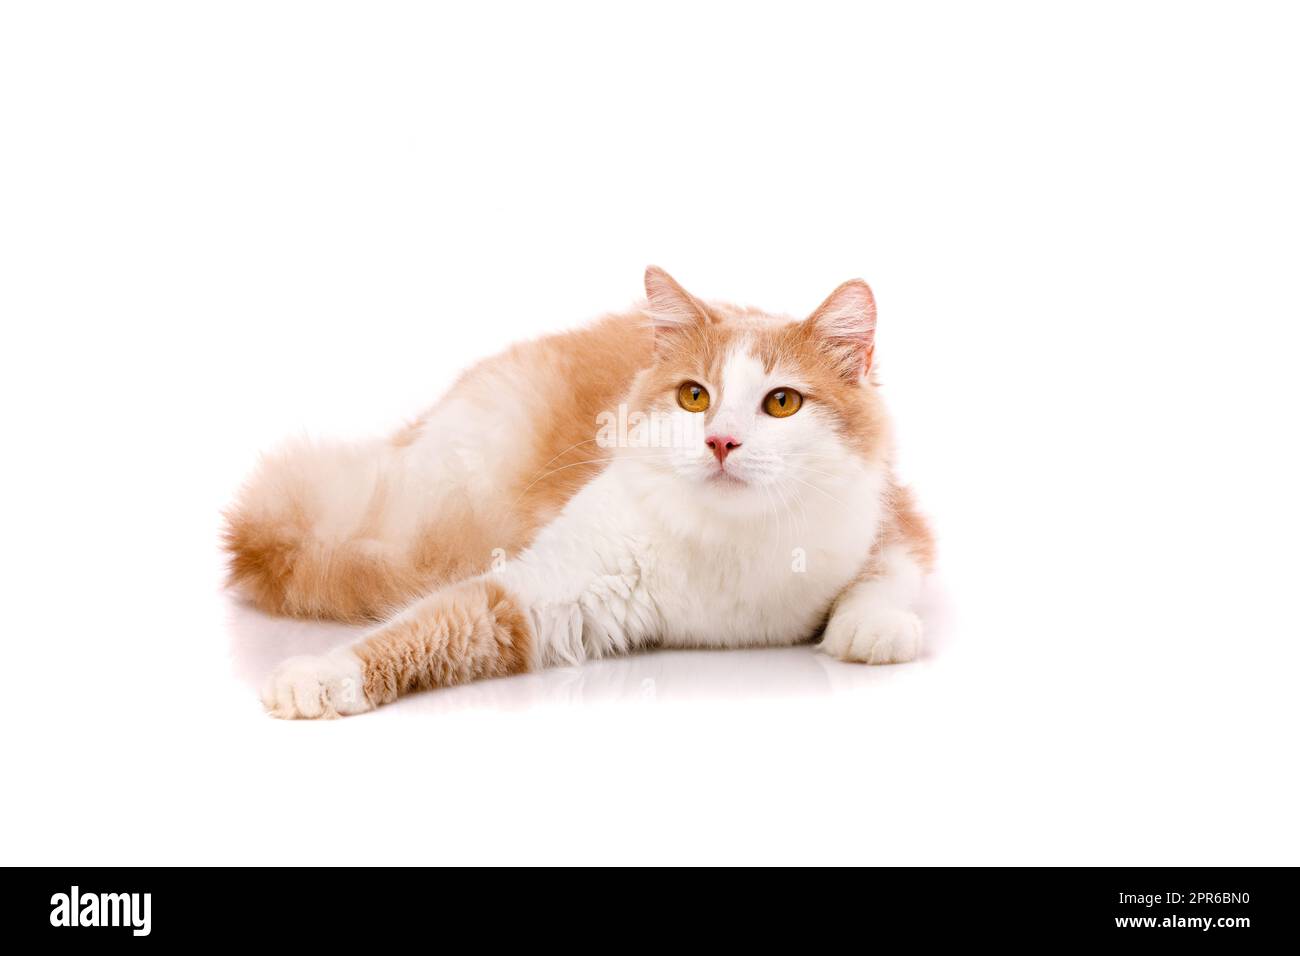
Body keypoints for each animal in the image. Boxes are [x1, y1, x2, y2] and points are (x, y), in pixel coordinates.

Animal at [223, 269, 935, 717]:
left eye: (782, 402)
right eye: (694, 396)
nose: (721, 442)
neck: (729, 540)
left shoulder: (896, 517)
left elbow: (890, 578)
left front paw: (872, 629)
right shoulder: (539, 593)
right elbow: (416, 627)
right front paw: (319, 677)